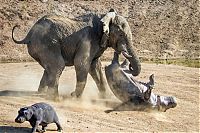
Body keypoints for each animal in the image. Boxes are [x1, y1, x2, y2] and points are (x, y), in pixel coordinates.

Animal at [11, 8, 141, 99]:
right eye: (121, 35)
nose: (130, 66)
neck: (103, 17)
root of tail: (29, 34)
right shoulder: (88, 40)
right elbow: (82, 64)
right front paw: (74, 97)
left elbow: (95, 66)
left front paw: (105, 97)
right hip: (46, 44)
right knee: (58, 65)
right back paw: (55, 98)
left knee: (49, 68)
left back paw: (40, 93)